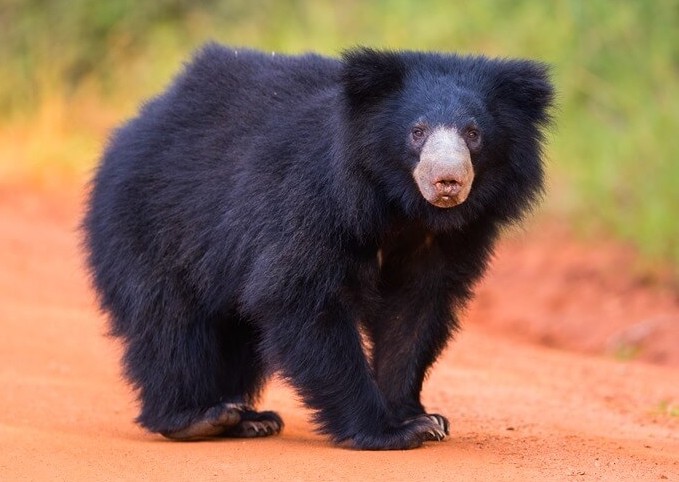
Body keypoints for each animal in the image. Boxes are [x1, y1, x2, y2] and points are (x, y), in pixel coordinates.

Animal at [82, 43, 556, 450]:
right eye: (417, 132)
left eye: (473, 134)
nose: (447, 181)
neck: (399, 204)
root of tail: (139, 121)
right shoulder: (312, 198)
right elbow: (300, 297)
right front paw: (388, 431)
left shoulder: (449, 238)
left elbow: (415, 309)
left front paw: (420, 417)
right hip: (154, 221)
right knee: (169, 319)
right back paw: (198, 416)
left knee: (235, 330)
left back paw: (247, 418)